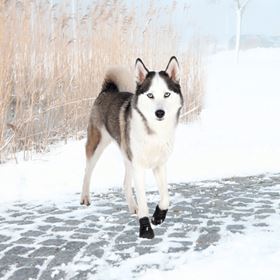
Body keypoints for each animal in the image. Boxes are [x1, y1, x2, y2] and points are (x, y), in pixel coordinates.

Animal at [80, 56, 183, 238]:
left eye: (166, 94)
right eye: (150, 95)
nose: (160, 113)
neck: (154, 133)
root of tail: (107, 90)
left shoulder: (159, 165)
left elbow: (165, 197)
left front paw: (158, 215)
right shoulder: (139, 167)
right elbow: (143, 200)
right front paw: (145, 228)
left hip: (127, 156)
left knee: (125, 183)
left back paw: (132, 206)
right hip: (97, 144)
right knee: (88, 171)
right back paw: (85, 197)